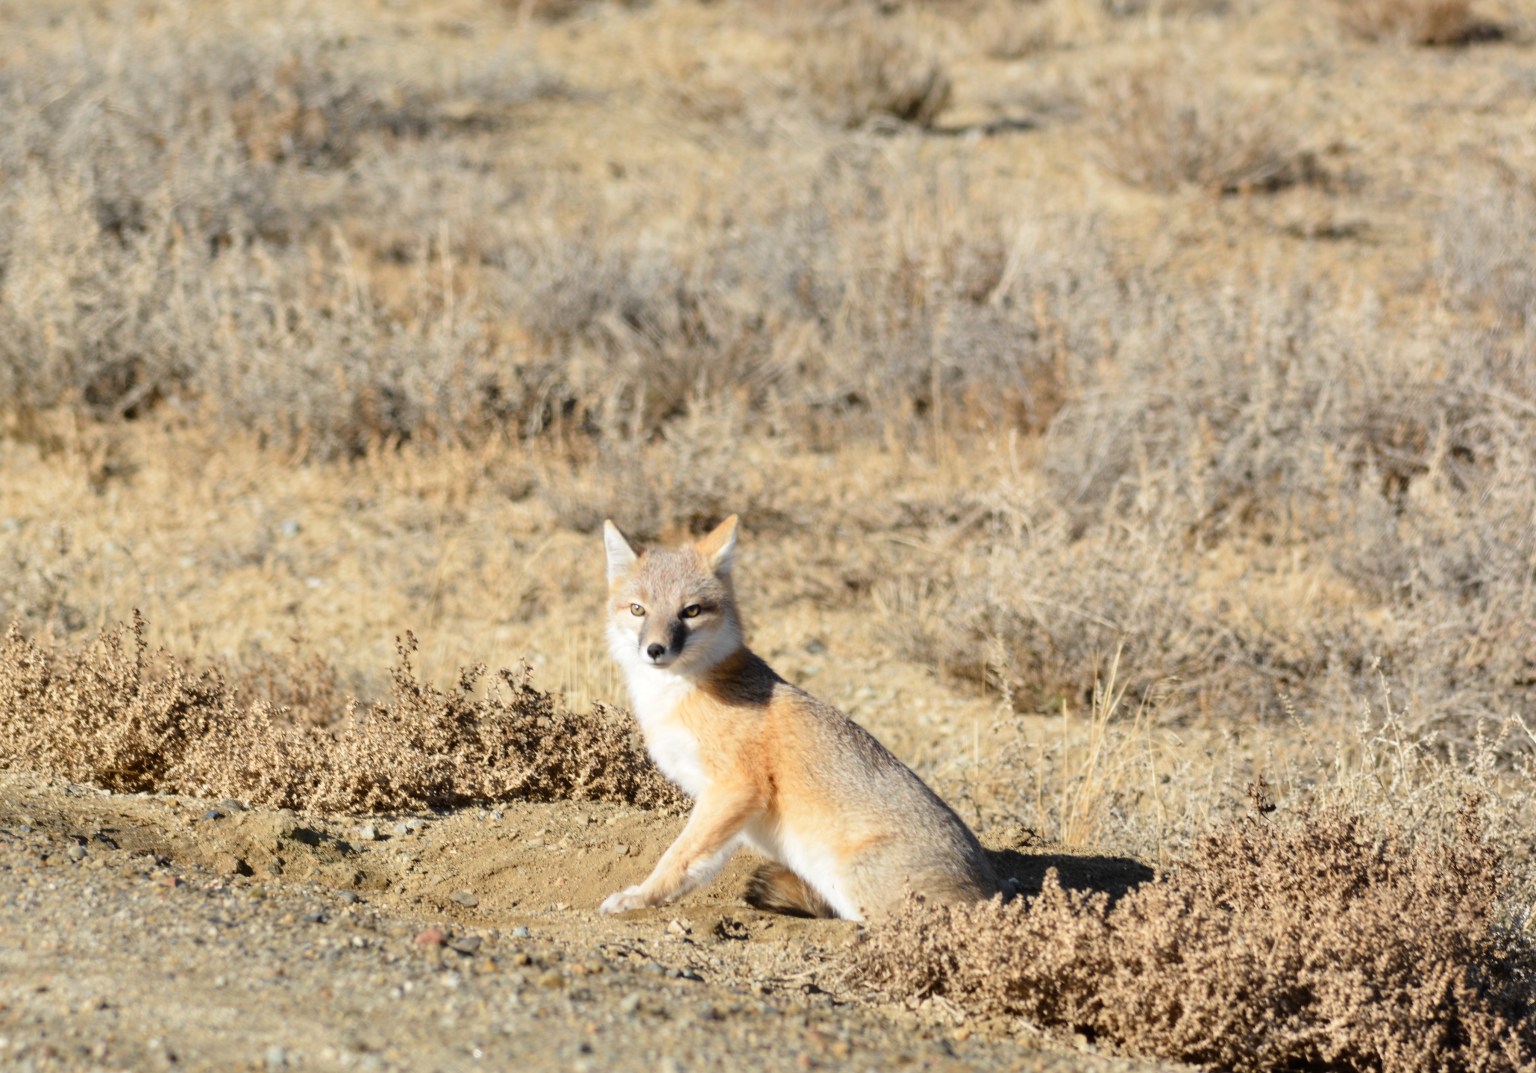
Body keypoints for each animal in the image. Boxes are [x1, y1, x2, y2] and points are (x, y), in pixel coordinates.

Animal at [599, 514, 1000, 921]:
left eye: (691, 611)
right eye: (638, 609)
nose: (655, 649)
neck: (676, 693)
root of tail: (993, 892)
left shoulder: (736, 787)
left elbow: (677, 856)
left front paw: (640, 896)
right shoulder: (723, 803)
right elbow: (698, 862)